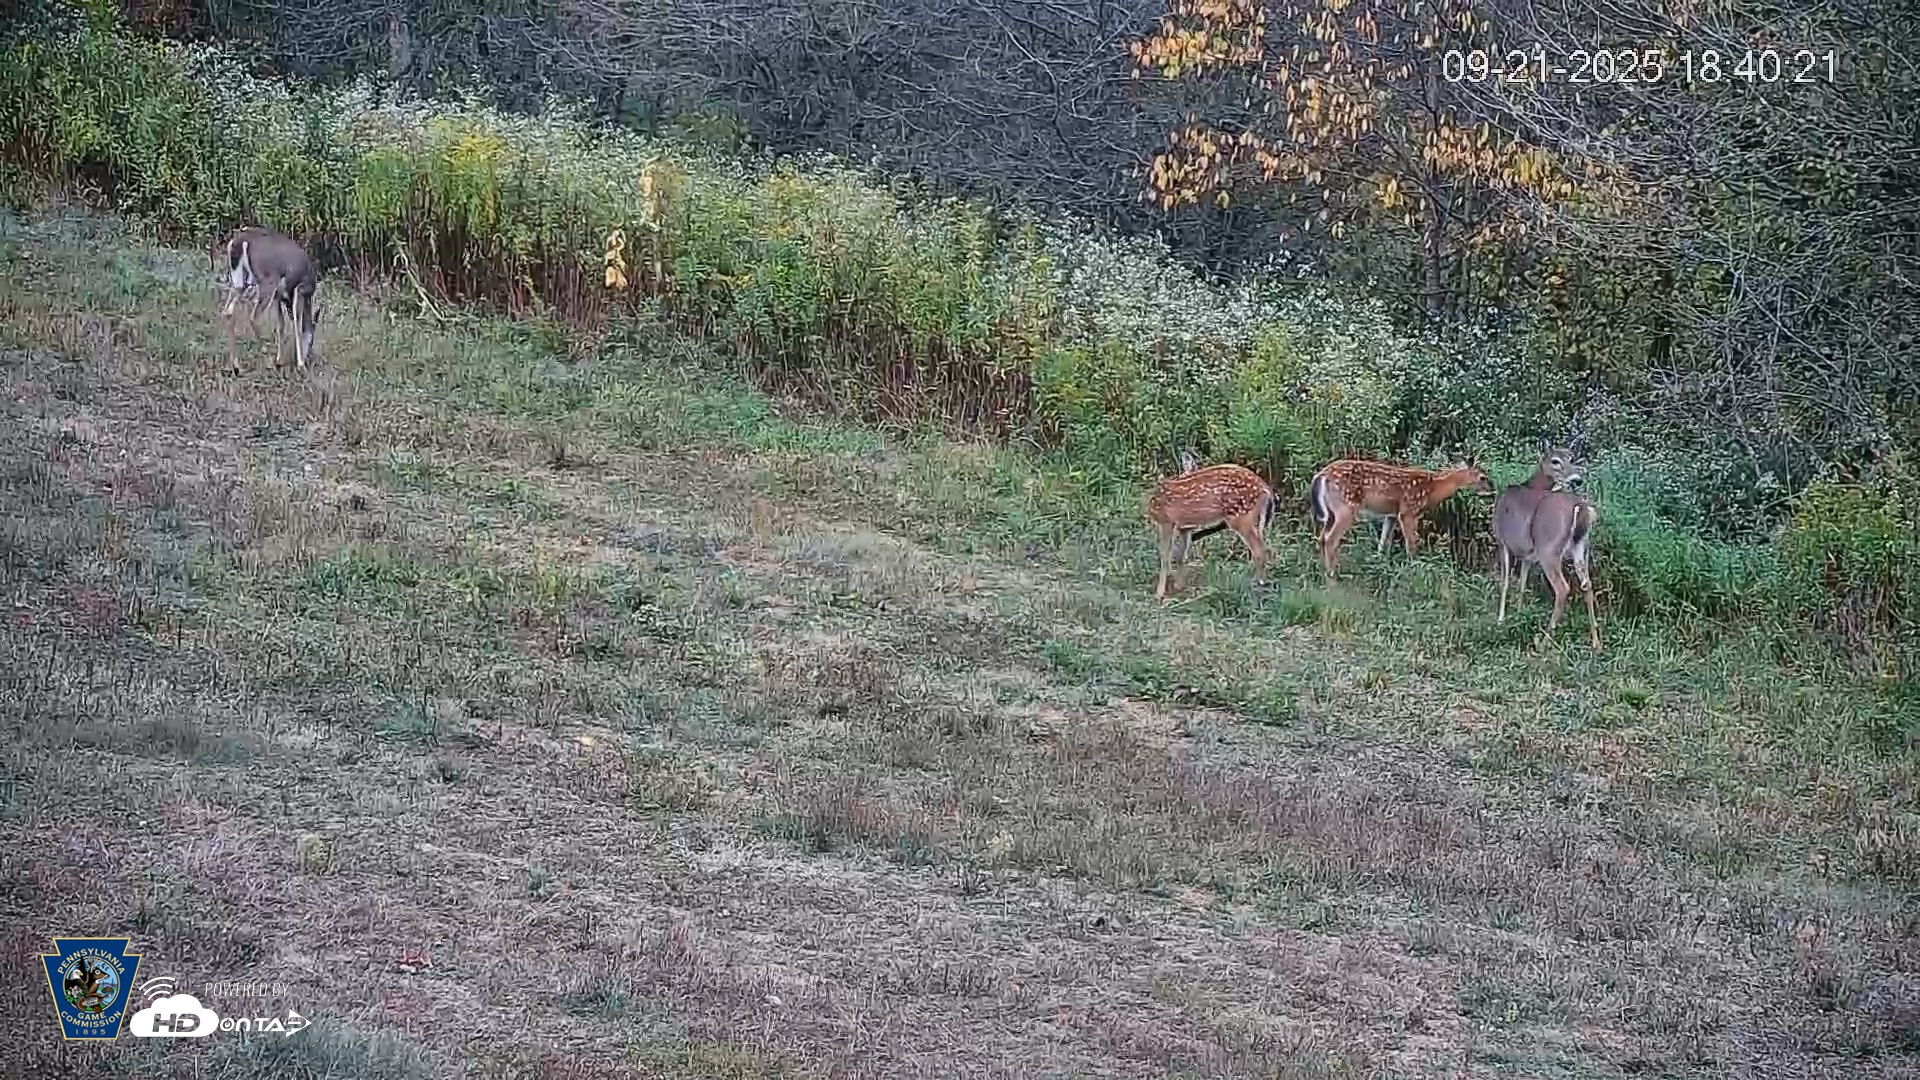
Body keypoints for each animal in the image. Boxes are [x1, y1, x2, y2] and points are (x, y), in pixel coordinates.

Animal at [213, 226, 318, 372]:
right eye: (312, 341)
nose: (309, 357)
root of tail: (240, 241)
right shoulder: (299, 289)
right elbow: (297, 325)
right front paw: (300, 364)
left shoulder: (278, 297)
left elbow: (281, 325)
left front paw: (280, 361)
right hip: (267, 282)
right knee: (253, 317)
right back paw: (268, 360)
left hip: (238, 279)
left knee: (227, 311)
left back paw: (236, 366)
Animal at [1145, 463, 1275, 600]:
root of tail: (1266, 490)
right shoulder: (1185, 526)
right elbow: (1181, 555)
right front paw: (1178, 586)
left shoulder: (1166, 521)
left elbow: (1165, 554)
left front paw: (1159, 593)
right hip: (1255, 519)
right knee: (1265, 548)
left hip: (1240, 517)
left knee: (1260, 551)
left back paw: (1257, 583)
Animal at [1305, 457, 1495, 580]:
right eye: (1483, 477)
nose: (1492, 490)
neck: (1434, 488)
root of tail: (1321, 476)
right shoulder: (1408, 512)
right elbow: (1411, 546)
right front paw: (1414, 570)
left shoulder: (1391, 515)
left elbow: (1383, 544)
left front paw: (1380, 567)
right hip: (1346, 508)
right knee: (1331, 539)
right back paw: (1333, 576)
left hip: (1331, 513)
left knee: (1322, 537)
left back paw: (1322, 570)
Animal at [1493, 443, 1601, 650]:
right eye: (1556, 460)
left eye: (1571, 458)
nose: (1577, 479)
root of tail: (1581, 508)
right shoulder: (1527, 554)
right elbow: (1522, 584)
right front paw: (1518, 614)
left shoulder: (1502, 541)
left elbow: (1505, 582)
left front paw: (1501, 620)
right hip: (1581, 547)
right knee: (1587, 584)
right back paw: (1596, 642)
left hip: (1549, 549)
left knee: (1563, 588)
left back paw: (1544, 641)